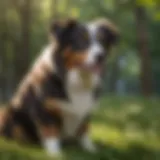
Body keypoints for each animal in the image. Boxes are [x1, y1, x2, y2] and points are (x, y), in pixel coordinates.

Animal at [0, 17, 119, 155]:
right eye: (81, 40)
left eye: (102, 41)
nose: (101, 56)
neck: (77, 79)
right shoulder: (45, 108)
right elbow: (51, 131)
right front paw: (55, 153)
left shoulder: (86, 110)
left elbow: (85, 129)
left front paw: (90, 149)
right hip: (9, 112)